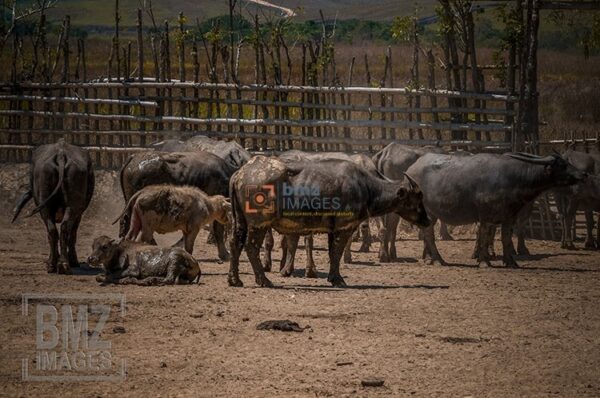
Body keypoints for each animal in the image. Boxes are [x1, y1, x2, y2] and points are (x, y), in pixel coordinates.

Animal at [11, 140, 93, 274]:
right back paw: (61, 264)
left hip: (50, 205)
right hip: (66, 206)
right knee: (61, 229)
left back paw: (56, 263)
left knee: (55, 230)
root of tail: (61, 154)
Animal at [227, 154, 428, 288]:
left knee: (235, 243)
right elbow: (337, 253)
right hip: (258, 224)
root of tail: (240, 173)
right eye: (417, 197)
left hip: (240, 221)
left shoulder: (333, 229)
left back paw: (235, 280)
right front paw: (338, 279)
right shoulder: (344, 227)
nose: (427, 220)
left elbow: (332, 253)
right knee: (251, 247)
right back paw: (263, 280)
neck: (365, 187)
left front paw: (332, 277)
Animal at [406, 152, 584, 268]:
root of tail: (411, 169)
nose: (583, 174)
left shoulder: (508, 217)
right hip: (429, 213)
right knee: (429, 235)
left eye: (567, 162)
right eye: (562, 165)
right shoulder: (486, 217)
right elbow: (484, 237)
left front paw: (511, 262)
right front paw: (484, 261)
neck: (512, 179)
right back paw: (437, 260)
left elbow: (505, 238)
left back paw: (429, 258)